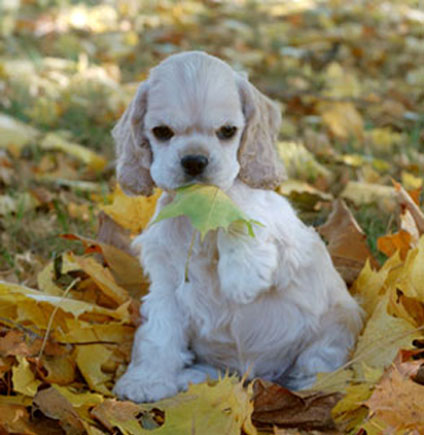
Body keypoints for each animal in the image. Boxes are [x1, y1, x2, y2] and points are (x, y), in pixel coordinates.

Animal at [111, 52, 362, 404]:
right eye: (161, 131)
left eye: (228, 131)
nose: (194, 161)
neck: (200, 207)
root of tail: (261, 375)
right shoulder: (166, 286)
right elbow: (158, 336)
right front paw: (146, 381)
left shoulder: (289, 248)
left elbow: (241, 219)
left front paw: (241, 277)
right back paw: (190, 378)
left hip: (335, 325)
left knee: (318, 364)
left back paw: (312, 390)